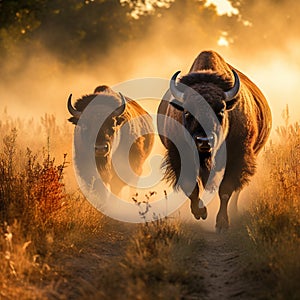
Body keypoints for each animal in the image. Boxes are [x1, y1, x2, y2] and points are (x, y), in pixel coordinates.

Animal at [157, 50, 272, 231]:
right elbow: (191, 186)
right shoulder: (179, 157)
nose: (204, 140)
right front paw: (201, 212)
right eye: (187, 112)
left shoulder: (237, 157)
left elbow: (225, 190)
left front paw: (222, 223)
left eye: (221, 110)